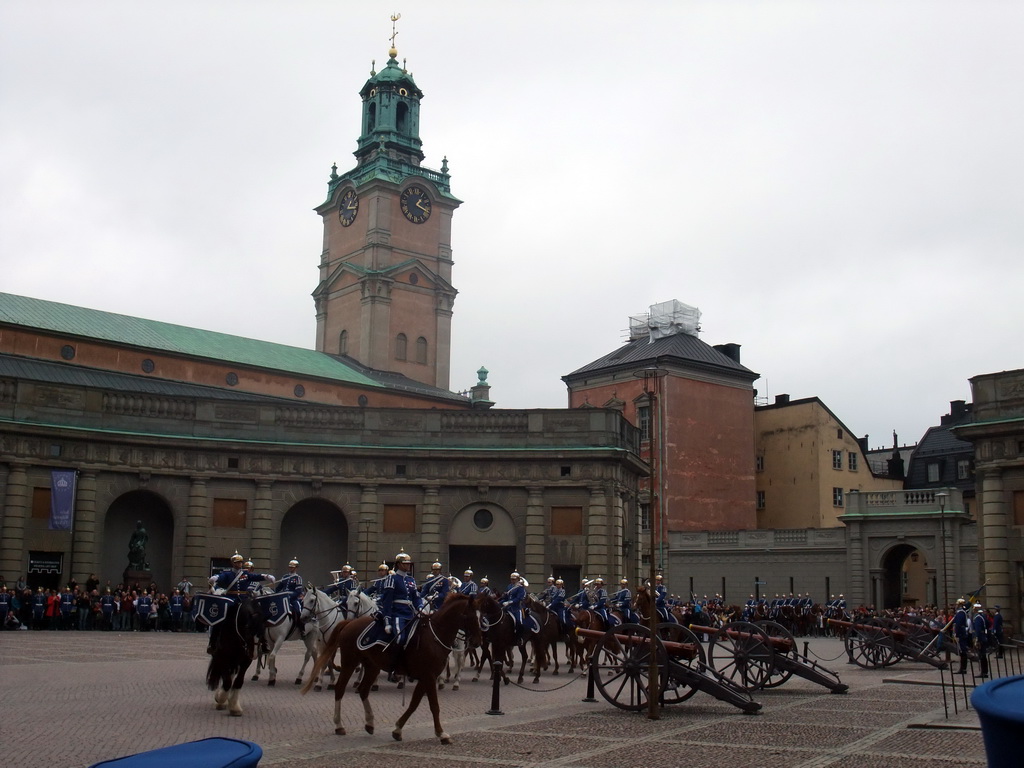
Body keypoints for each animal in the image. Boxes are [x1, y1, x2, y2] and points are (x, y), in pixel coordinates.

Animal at [301, 589, 481, 745]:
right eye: (471, 615)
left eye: (481, 616)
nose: (477, 641)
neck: (434, 635)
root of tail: (349, 623)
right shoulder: (428, 676)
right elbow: (434, 706)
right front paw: (441, 733)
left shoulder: (426, 677)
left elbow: (414, 703)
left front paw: (398, 729)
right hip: (350, 662)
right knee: (340, 688)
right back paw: (339, 725)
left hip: (372, 666)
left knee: (364, 689)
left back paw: (369, 723)